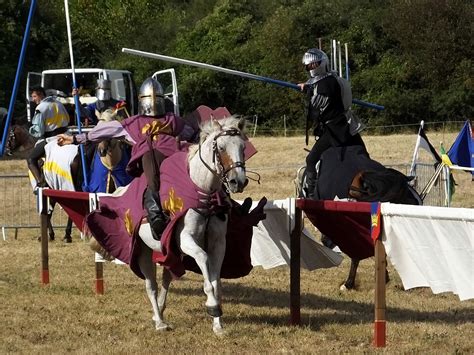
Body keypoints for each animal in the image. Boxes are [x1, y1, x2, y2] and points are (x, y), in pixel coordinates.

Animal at [137, 117, 248, 336]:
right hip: (143, 251)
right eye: (221, 147)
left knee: (166, 278)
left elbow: (216, 282)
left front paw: (218, 324)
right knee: (151, 286)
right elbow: (204, 262)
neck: (203, 191)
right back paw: (159, 322)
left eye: (243, 147)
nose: (238, 182)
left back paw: (159, 311)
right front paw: (212, 305)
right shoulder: (185, 241)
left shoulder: (218, 244)